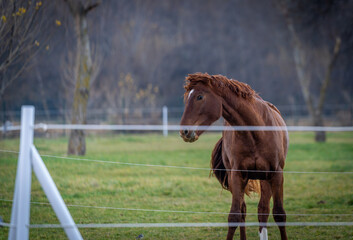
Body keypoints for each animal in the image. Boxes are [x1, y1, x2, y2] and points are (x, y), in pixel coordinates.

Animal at [180, 73, 288, 240]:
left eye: (199, 97)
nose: (184, 131)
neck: (255, 131)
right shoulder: (237, 176)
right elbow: (234, 216)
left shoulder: (276, 175)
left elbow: (279, 214)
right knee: (244, 210)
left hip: (265, 179)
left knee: (263, 210)